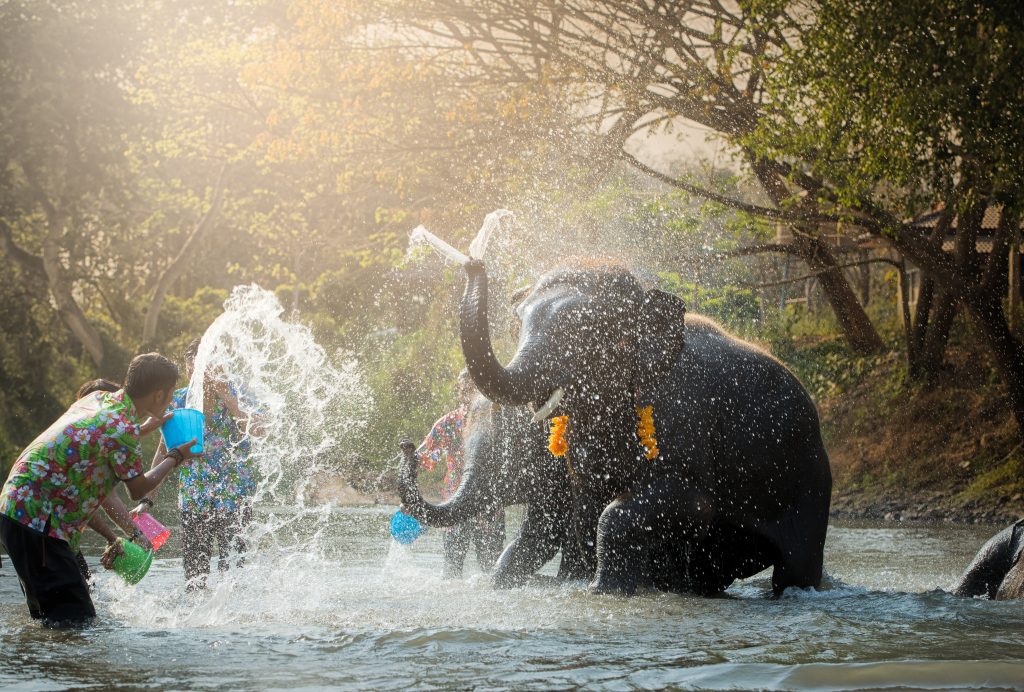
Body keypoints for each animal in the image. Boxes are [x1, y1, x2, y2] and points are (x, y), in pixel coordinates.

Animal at [458, 259, 832, 596]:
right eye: (518, 321)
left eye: (586, 327)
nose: (473, 264)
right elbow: (580, 510)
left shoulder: (683, 416)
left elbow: (691, 504)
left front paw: (602, 591)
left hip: (809, 478)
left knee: (795, 566)